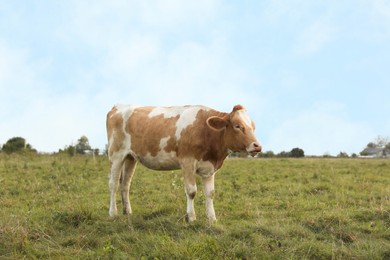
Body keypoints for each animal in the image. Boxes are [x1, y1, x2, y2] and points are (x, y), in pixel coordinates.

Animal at [106, 104, 262, 222]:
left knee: (125, 184)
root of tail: (117, 107)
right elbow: (192, 191)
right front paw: (191, 217)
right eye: (237, 126)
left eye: (253, 126)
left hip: (130, 157)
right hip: (116, 155)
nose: (257, 146)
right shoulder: (187, 163)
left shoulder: (209, 167)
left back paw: (127, 211)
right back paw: (113, 212)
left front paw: (212, 218)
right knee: (113, 184)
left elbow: (210, 193)